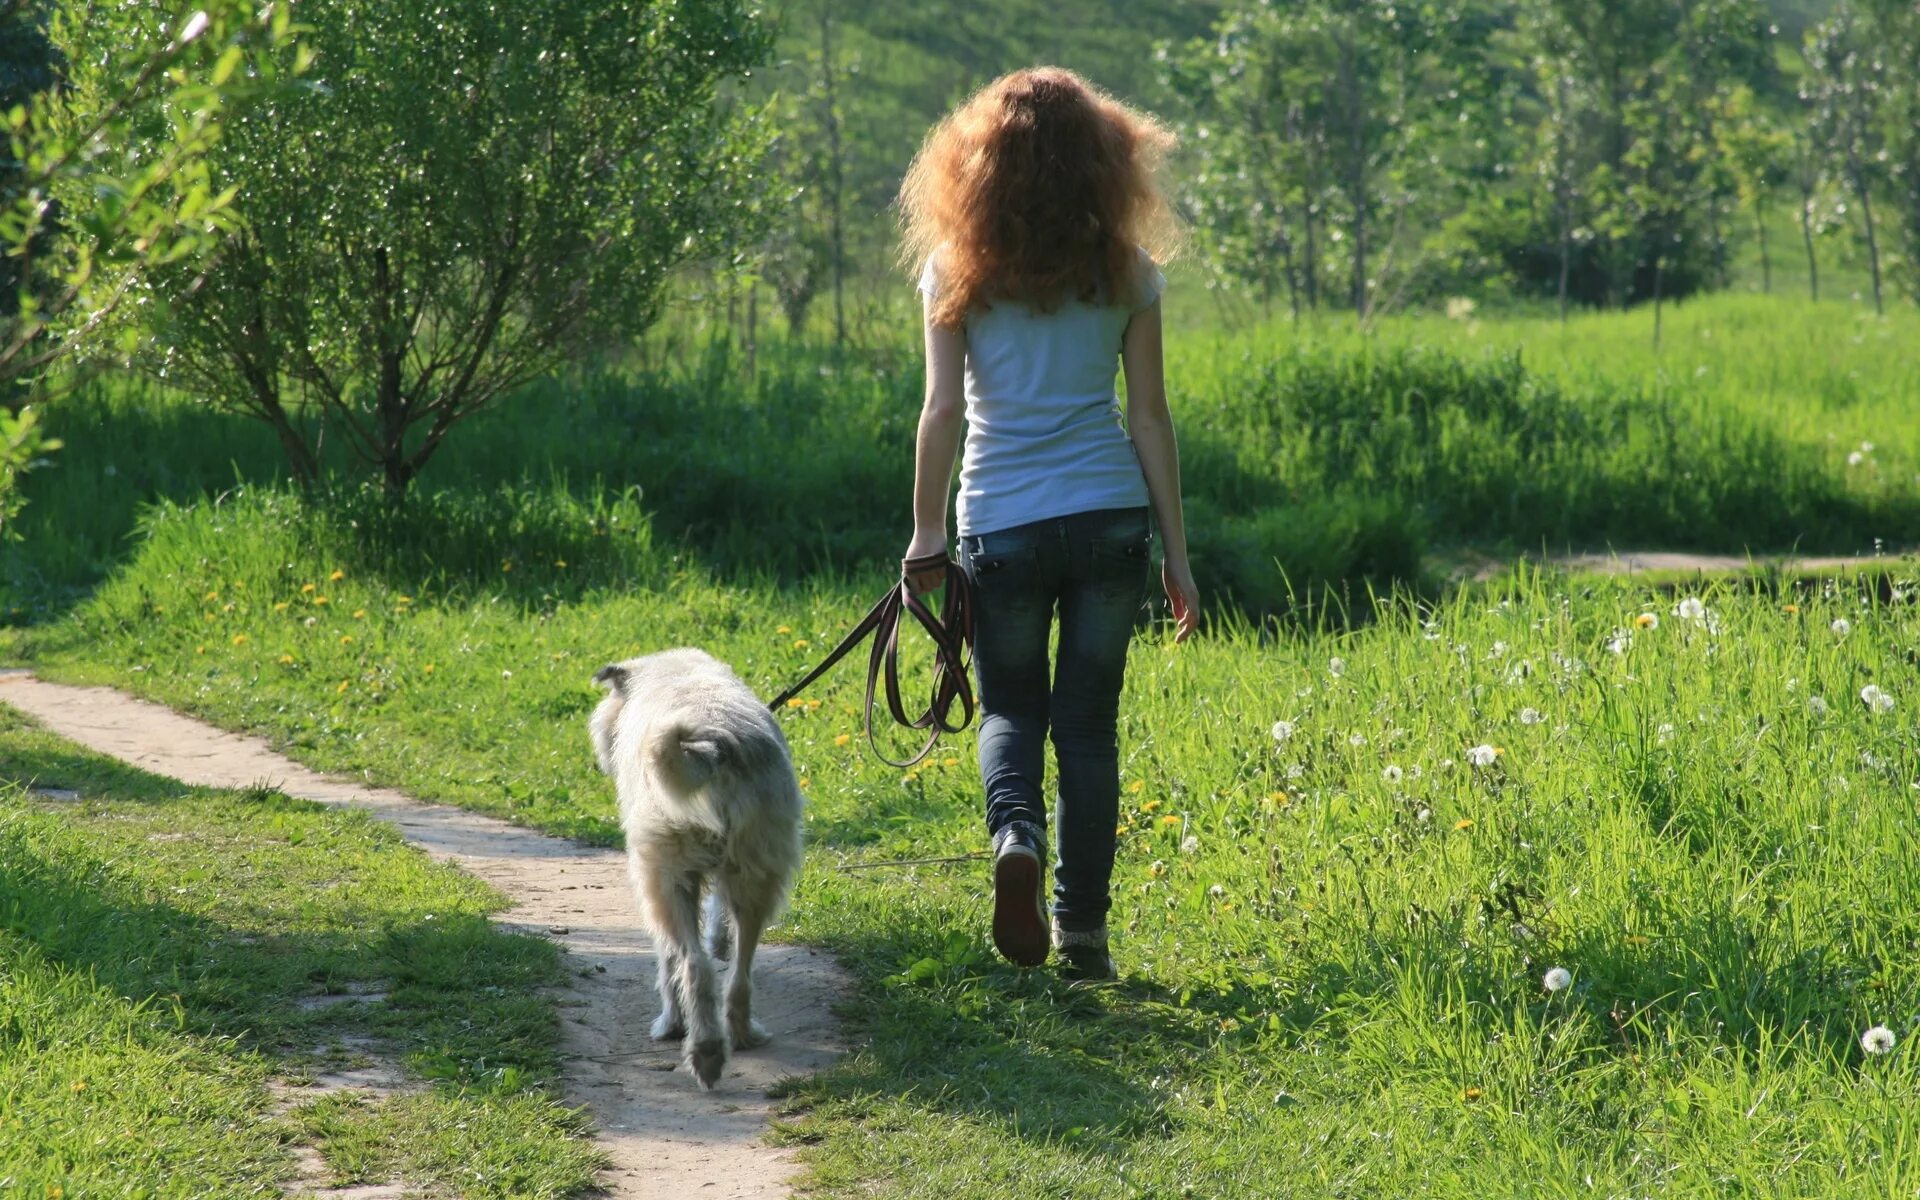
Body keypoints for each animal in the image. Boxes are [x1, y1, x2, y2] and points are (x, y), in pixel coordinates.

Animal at [579, 648, 798, 1090]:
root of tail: (710, 745)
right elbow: (717, 921)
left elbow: (668, 960)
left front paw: (671, 1024)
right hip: (757, 869)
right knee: (739, 971)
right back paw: (743, 1034)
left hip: (665, 877)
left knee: (694, 966)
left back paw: (704, 1051)